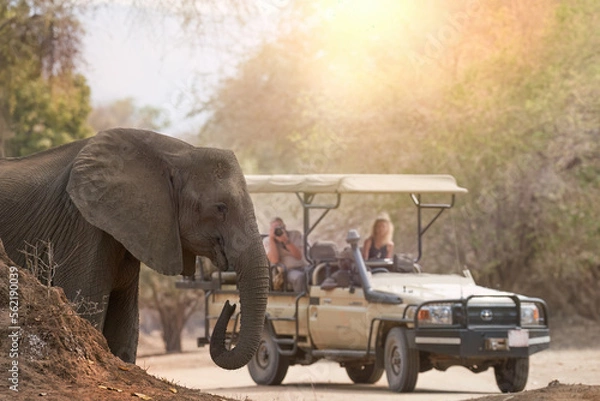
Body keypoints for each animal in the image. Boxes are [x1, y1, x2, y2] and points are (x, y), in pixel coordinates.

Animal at [0, 128, 268, 368]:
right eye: (221, 208)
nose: (230, 304)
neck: (177, 153)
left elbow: (124, 327)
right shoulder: (81, 225)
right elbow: (84, 308)